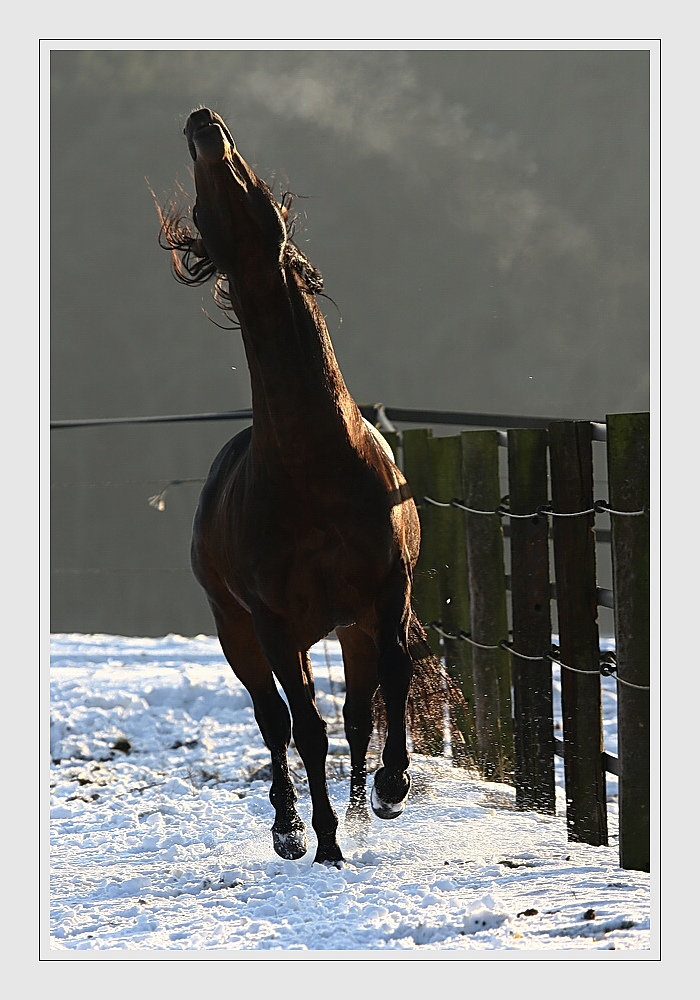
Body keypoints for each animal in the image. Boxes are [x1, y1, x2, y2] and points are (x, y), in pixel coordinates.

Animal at [156, 105, 456, 864]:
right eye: (201, 204)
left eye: (255, 180)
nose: (202, 123)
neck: (316, 469)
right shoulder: (273, 623)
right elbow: (303, 729)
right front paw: (322, 844)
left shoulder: (384, 594)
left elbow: (389, 684)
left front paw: (390, 790)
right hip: (237, 631)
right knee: (275, 721)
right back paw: (291, 827)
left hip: (347, 625)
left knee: (354, 714)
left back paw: (358, 806)